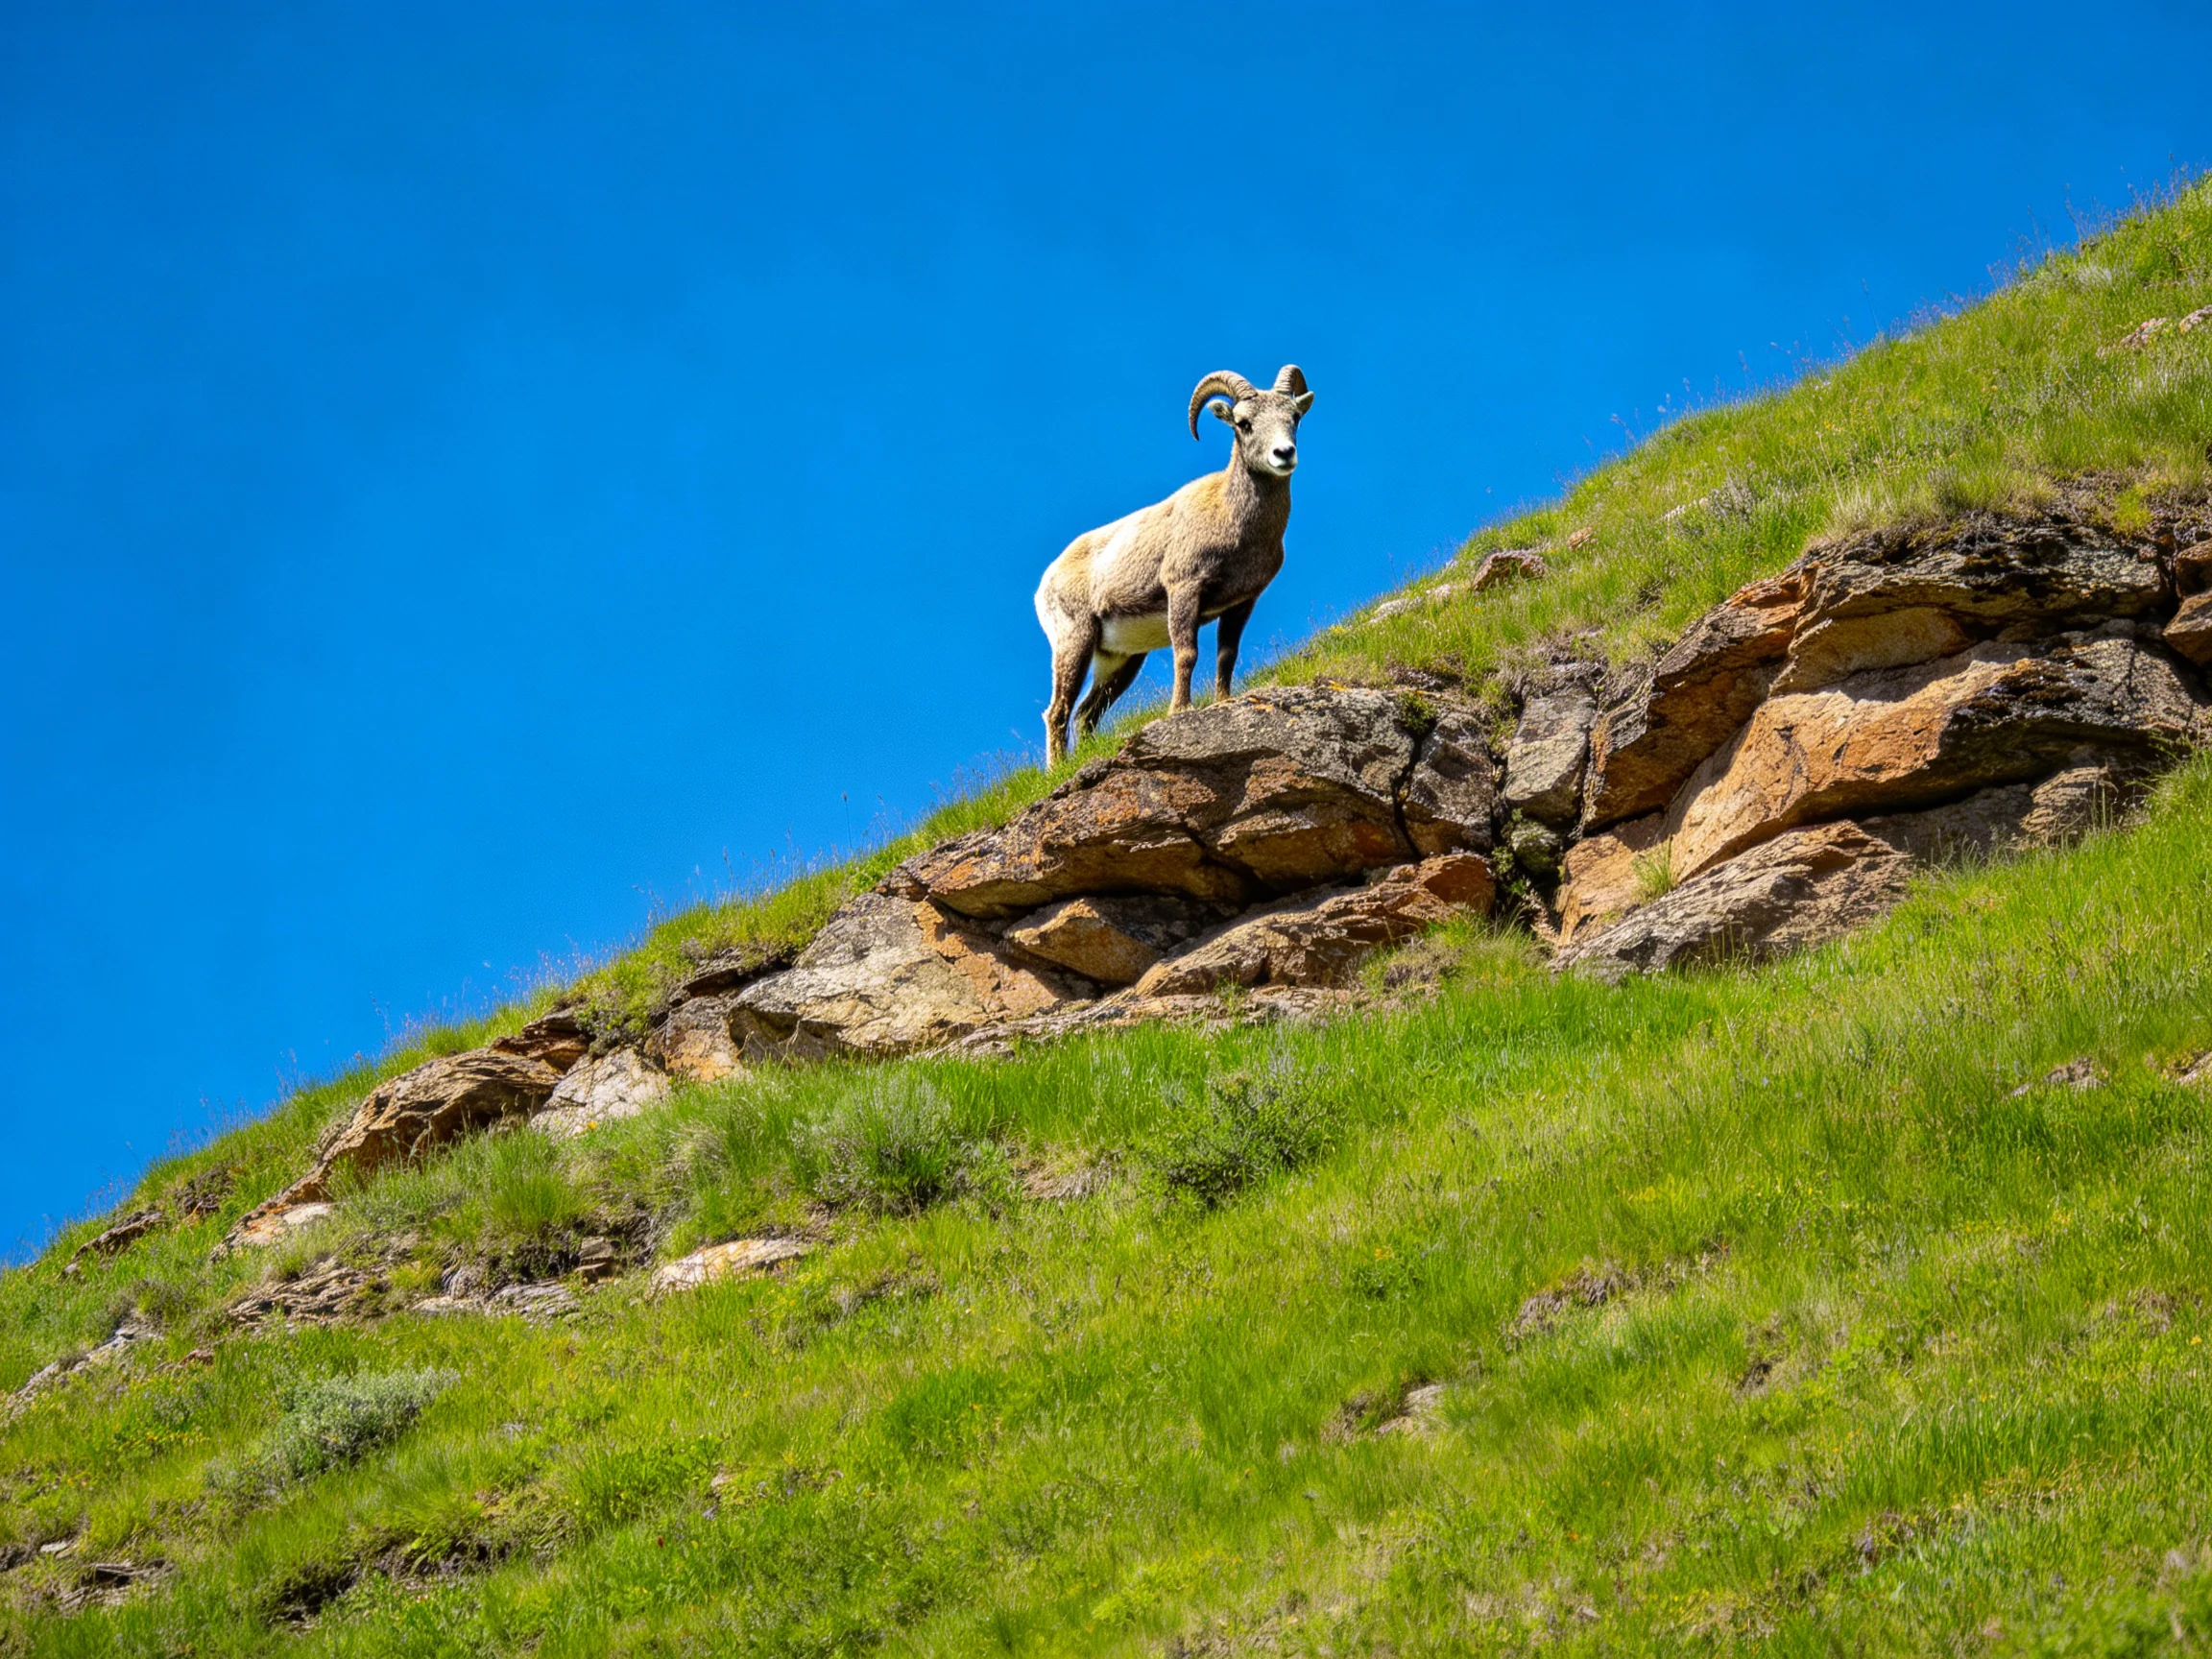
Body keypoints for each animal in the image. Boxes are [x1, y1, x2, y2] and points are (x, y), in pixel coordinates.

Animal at [1032, 365, 1314, 764]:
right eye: (1243, 423)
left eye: (1294, 417)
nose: (1283, 454)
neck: (1231, 519)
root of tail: (1046, 581)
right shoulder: (1184, 589)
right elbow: (1187, 653)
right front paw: (1181, 710)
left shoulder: (1242, 603)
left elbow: (1227, 655)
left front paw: (1223, 701)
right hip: (1075, 641)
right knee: (1058, 710)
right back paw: (1056, 769)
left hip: (1121, 658)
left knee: (1087, 712)